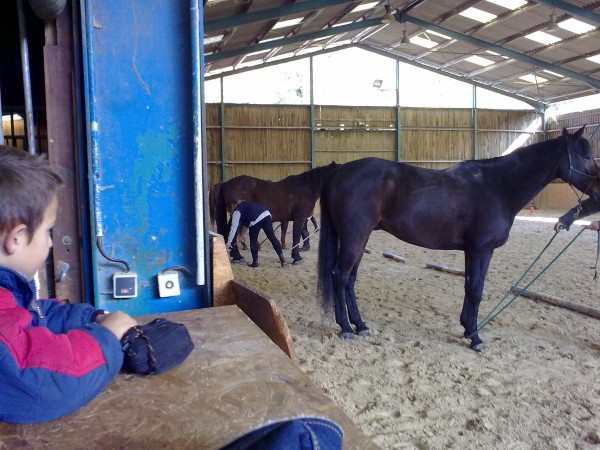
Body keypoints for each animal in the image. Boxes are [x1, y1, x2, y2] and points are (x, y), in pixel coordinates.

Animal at [316, 126, 596, 352]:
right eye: (586, 155)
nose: (598, 188)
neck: (498, 185)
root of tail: (340, 170)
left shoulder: (471, 250)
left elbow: (469, 286)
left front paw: (467, 328)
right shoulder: (483, 249)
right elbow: (477, 289)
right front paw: (476, 338)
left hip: (360, 240)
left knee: (350, 280)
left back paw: (360, 325)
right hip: (354, 238)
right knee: (340, 276)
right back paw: (346, 328)